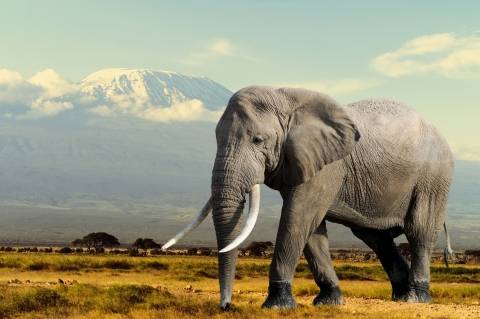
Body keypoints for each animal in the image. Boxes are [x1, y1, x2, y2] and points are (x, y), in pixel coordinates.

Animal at [162, 87, 454, 310]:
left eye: (258, 140)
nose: (226, 306)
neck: (285, 98)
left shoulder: (327, 165)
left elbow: (298, 217)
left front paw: (277, 305)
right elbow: (311, 229)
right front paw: (329, 301)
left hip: (433, 177)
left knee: (419, 230)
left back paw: (416, 298)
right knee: (375, 237)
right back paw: (401, 296)